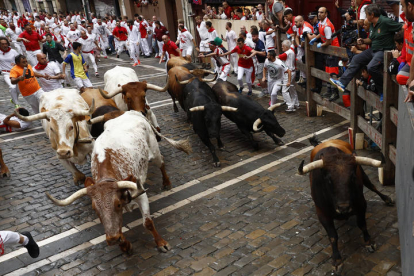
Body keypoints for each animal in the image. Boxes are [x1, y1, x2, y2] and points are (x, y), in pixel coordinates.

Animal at [300, 138, 392, 274]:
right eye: (328, 179)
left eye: (352, 177)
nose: (343, 207)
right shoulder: (322, 213)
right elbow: (333, 236)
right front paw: (337, 260)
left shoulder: (361, 204)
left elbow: (362, 224)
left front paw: (369, 242)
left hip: (364, 175)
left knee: (373, 186)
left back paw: (387, 199)